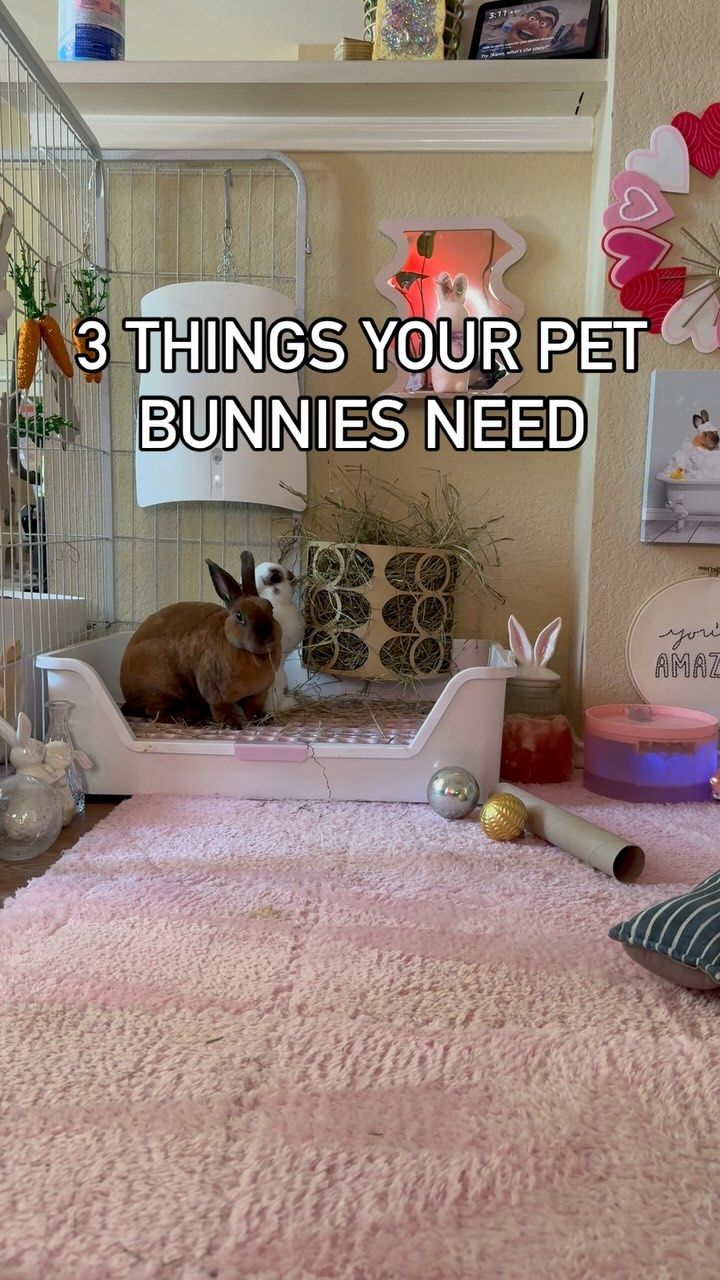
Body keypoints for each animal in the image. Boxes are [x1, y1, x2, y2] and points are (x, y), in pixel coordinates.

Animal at [120, 552, 280, 732]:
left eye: (271, 609)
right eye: (239, 616)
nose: (266, 638)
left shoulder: (257, 695)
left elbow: (254, 710)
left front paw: (265, 720)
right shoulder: (216, 695)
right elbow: (222, 712)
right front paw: (233, 726)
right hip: (162, 690)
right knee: (155, 713)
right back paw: (194, 718)